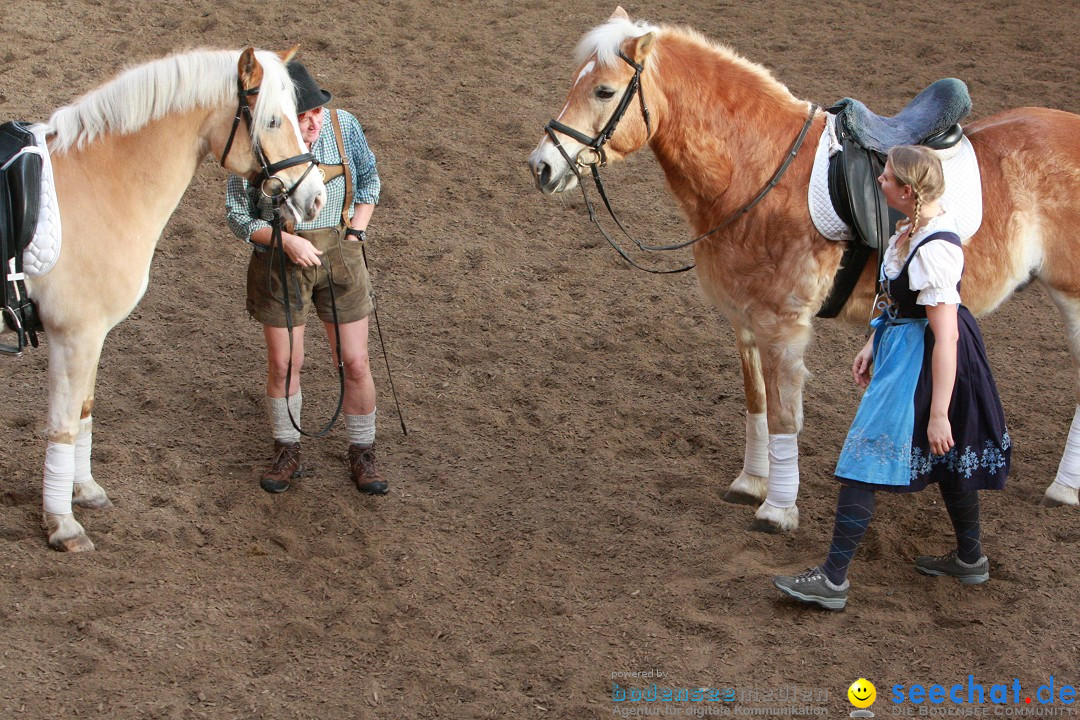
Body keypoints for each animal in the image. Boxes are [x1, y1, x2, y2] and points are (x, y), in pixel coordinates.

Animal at [6, 46, 324, 552]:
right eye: (272, 121)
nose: (316, 197)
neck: (102, 179)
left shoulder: (91, 337)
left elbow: (84, 411)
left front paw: (85, 492)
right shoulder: (73, 336)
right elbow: (62, 424)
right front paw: (63, 526)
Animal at [527, 8, 1080, 533]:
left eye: (604, 90)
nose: (541, 167)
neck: (756, 170)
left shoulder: (783, 325)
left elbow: (784, 416)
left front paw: (777, 509)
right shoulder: (745, 320)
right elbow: (756, 402)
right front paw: (751, 482)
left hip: (1073, 294)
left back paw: (1065, 488)